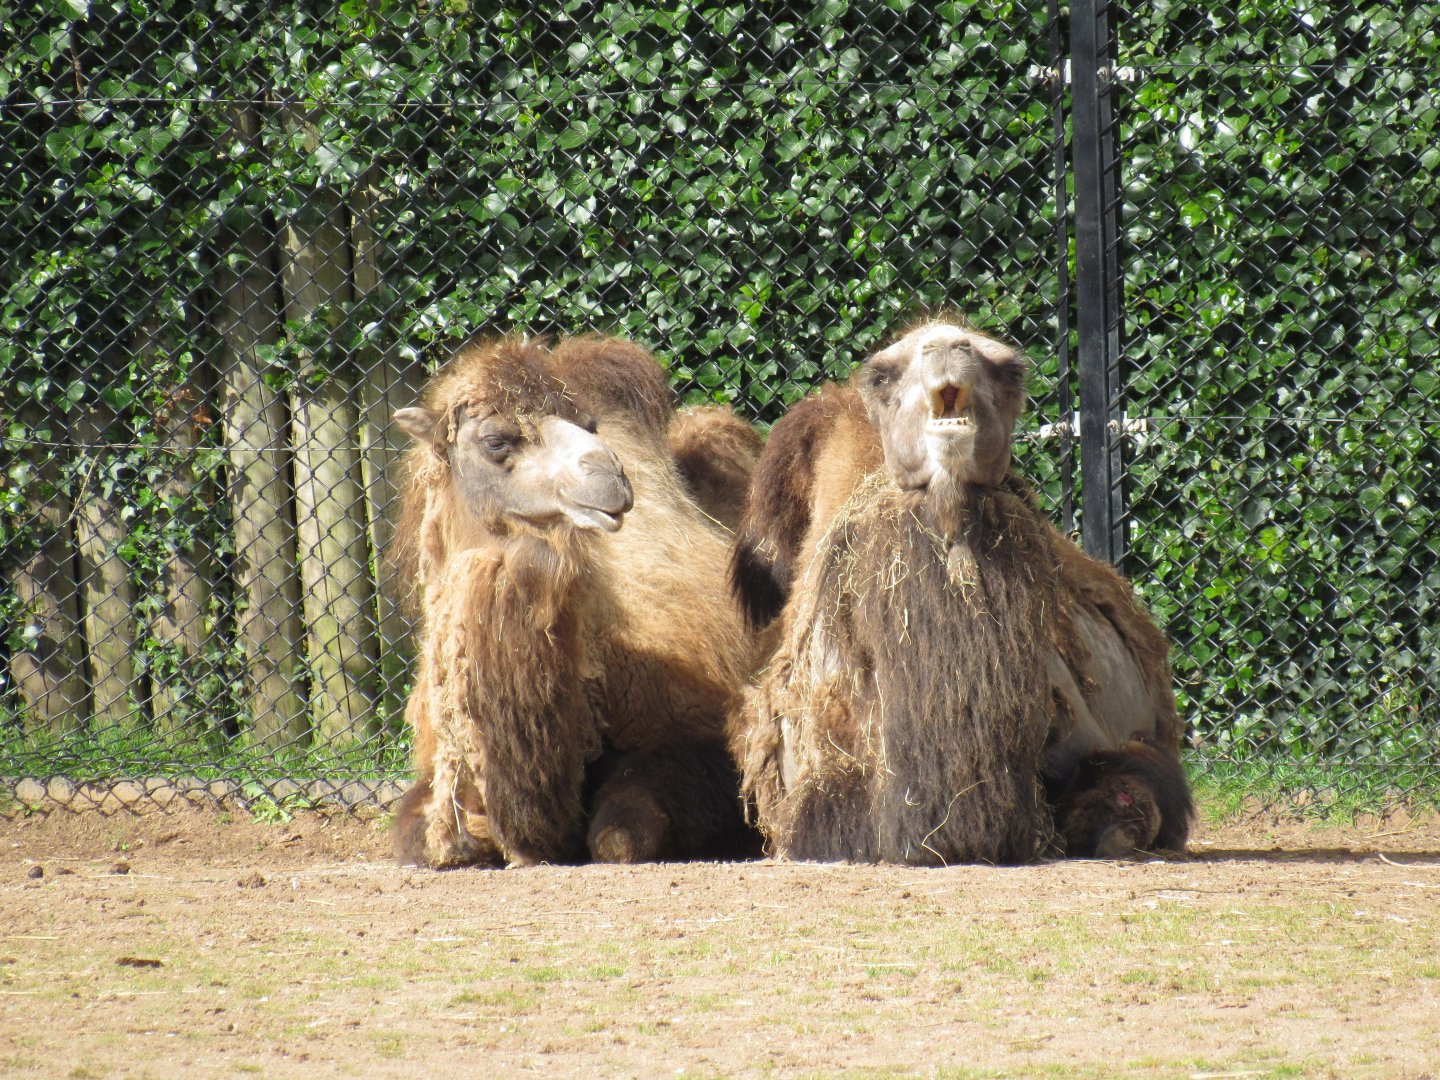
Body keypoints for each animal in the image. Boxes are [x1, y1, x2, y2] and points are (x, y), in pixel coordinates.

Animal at [390, 334, 762, 868]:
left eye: (589, 425)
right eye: (497, 440)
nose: (610, 474)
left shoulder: (697, 731)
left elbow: (621, 835)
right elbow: (429, 837)